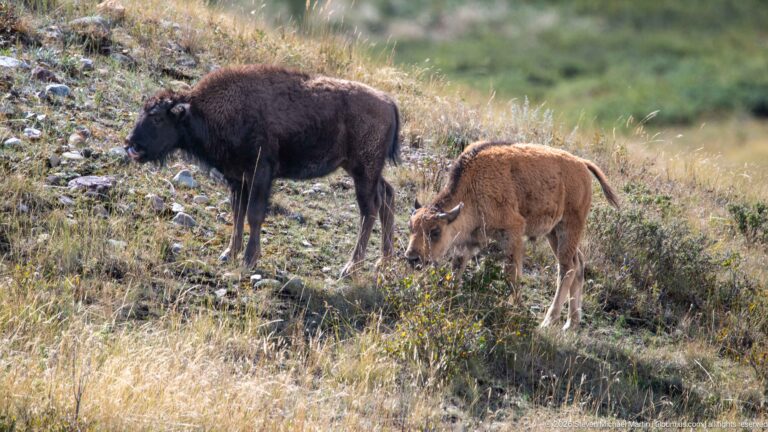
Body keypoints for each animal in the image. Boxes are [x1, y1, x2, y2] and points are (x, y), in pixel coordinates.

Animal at [125, 65, 400, 276]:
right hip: (363, 171)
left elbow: (253, 215)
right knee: (387, 195)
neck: (202, 111)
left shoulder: (260, 175)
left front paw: (249, 259)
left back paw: (350, 267)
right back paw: (383, 261)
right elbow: (237, 213)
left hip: (364, 172)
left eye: (157, 117)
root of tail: (388, 102)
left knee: (369, 210)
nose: (131, 145)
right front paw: (229, 253)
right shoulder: (237, 179)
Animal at [404, 142, 620, 330]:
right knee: (578, 263)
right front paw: (450, 296)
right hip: (554, 233)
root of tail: (582, 163)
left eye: (435, 231)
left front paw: (515, 308)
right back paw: (571, 324)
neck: (473, 184)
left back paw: (549, 321)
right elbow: (457, 268)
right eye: (411, 227)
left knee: (567, 269)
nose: (412, 258)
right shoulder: (469, 242)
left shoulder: (513, 233)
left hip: (568, 228)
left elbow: (511, 274)